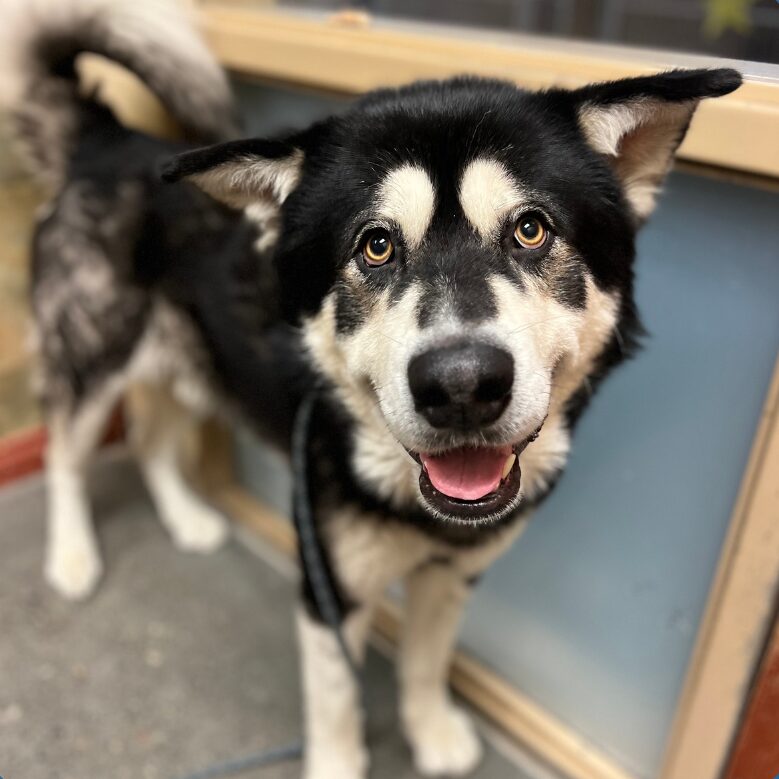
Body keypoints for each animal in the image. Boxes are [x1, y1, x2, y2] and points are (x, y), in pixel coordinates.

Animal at [2, 0, 741, 776]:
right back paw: (72, 556)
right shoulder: (330, 582)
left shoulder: (451, 574)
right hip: (93, 359)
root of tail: (106, 142)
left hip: (195, 363)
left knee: (149, 440)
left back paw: (186, 519)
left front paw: (431, 731)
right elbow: (336, 706)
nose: (461, 385)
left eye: (531, 229)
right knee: (64, 456)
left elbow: (425, 662)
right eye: (376, 245)